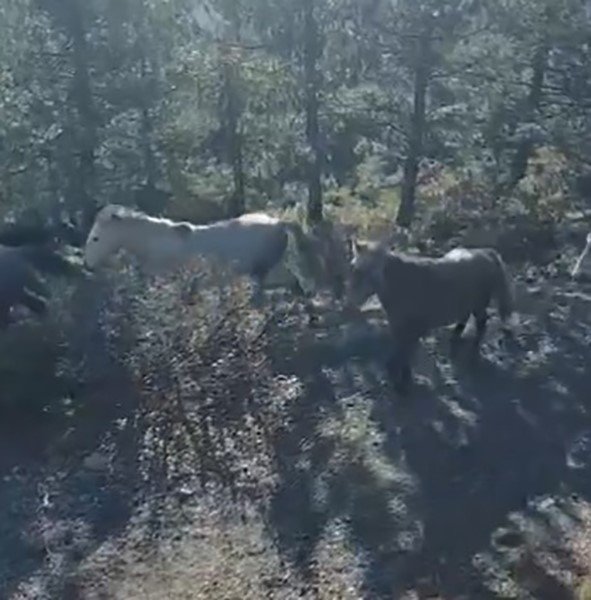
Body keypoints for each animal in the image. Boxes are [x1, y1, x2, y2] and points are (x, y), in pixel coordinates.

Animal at [83, 204, 320, 304]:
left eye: (95, 238)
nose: (87, 265)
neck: (153, 242)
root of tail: (278, 223)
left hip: (265, 270)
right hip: (263, 272)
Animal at [344, 241, 516, 396]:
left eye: (370, 270)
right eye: (354, 267)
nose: (352, 300)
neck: (401, 284)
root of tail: (486, 252)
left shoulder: (414, 328)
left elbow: (404, 353)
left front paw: (402, 385)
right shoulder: (398, 327)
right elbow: (400, 352)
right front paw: (399, 379)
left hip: (478, 304)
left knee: (481, 323)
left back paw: (472, 352)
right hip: (467, 303)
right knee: (465, 319)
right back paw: (455, 340)